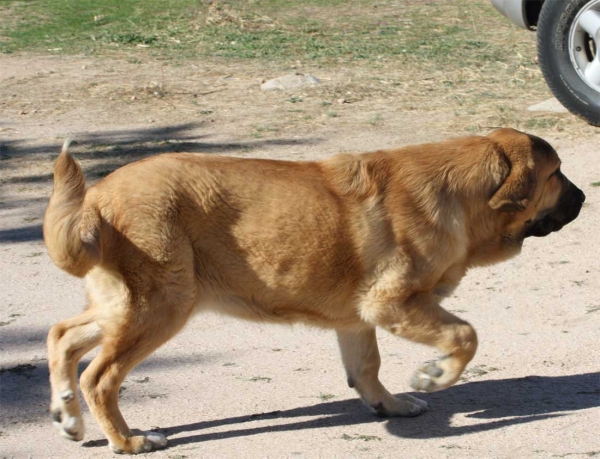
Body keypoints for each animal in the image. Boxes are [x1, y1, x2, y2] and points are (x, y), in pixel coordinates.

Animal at [44, 128, 584, 452]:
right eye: (557, 174)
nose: (583, 197)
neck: (463, 194)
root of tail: (96, 199)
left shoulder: (358, 319)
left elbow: (367, 369)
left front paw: (390, 406)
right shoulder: (393, 305)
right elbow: (465, 336)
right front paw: (433, 376)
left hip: (125, 307)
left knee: (61, 337)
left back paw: (68, 417)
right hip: (160, 306)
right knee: (100, 377)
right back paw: (127, 440)